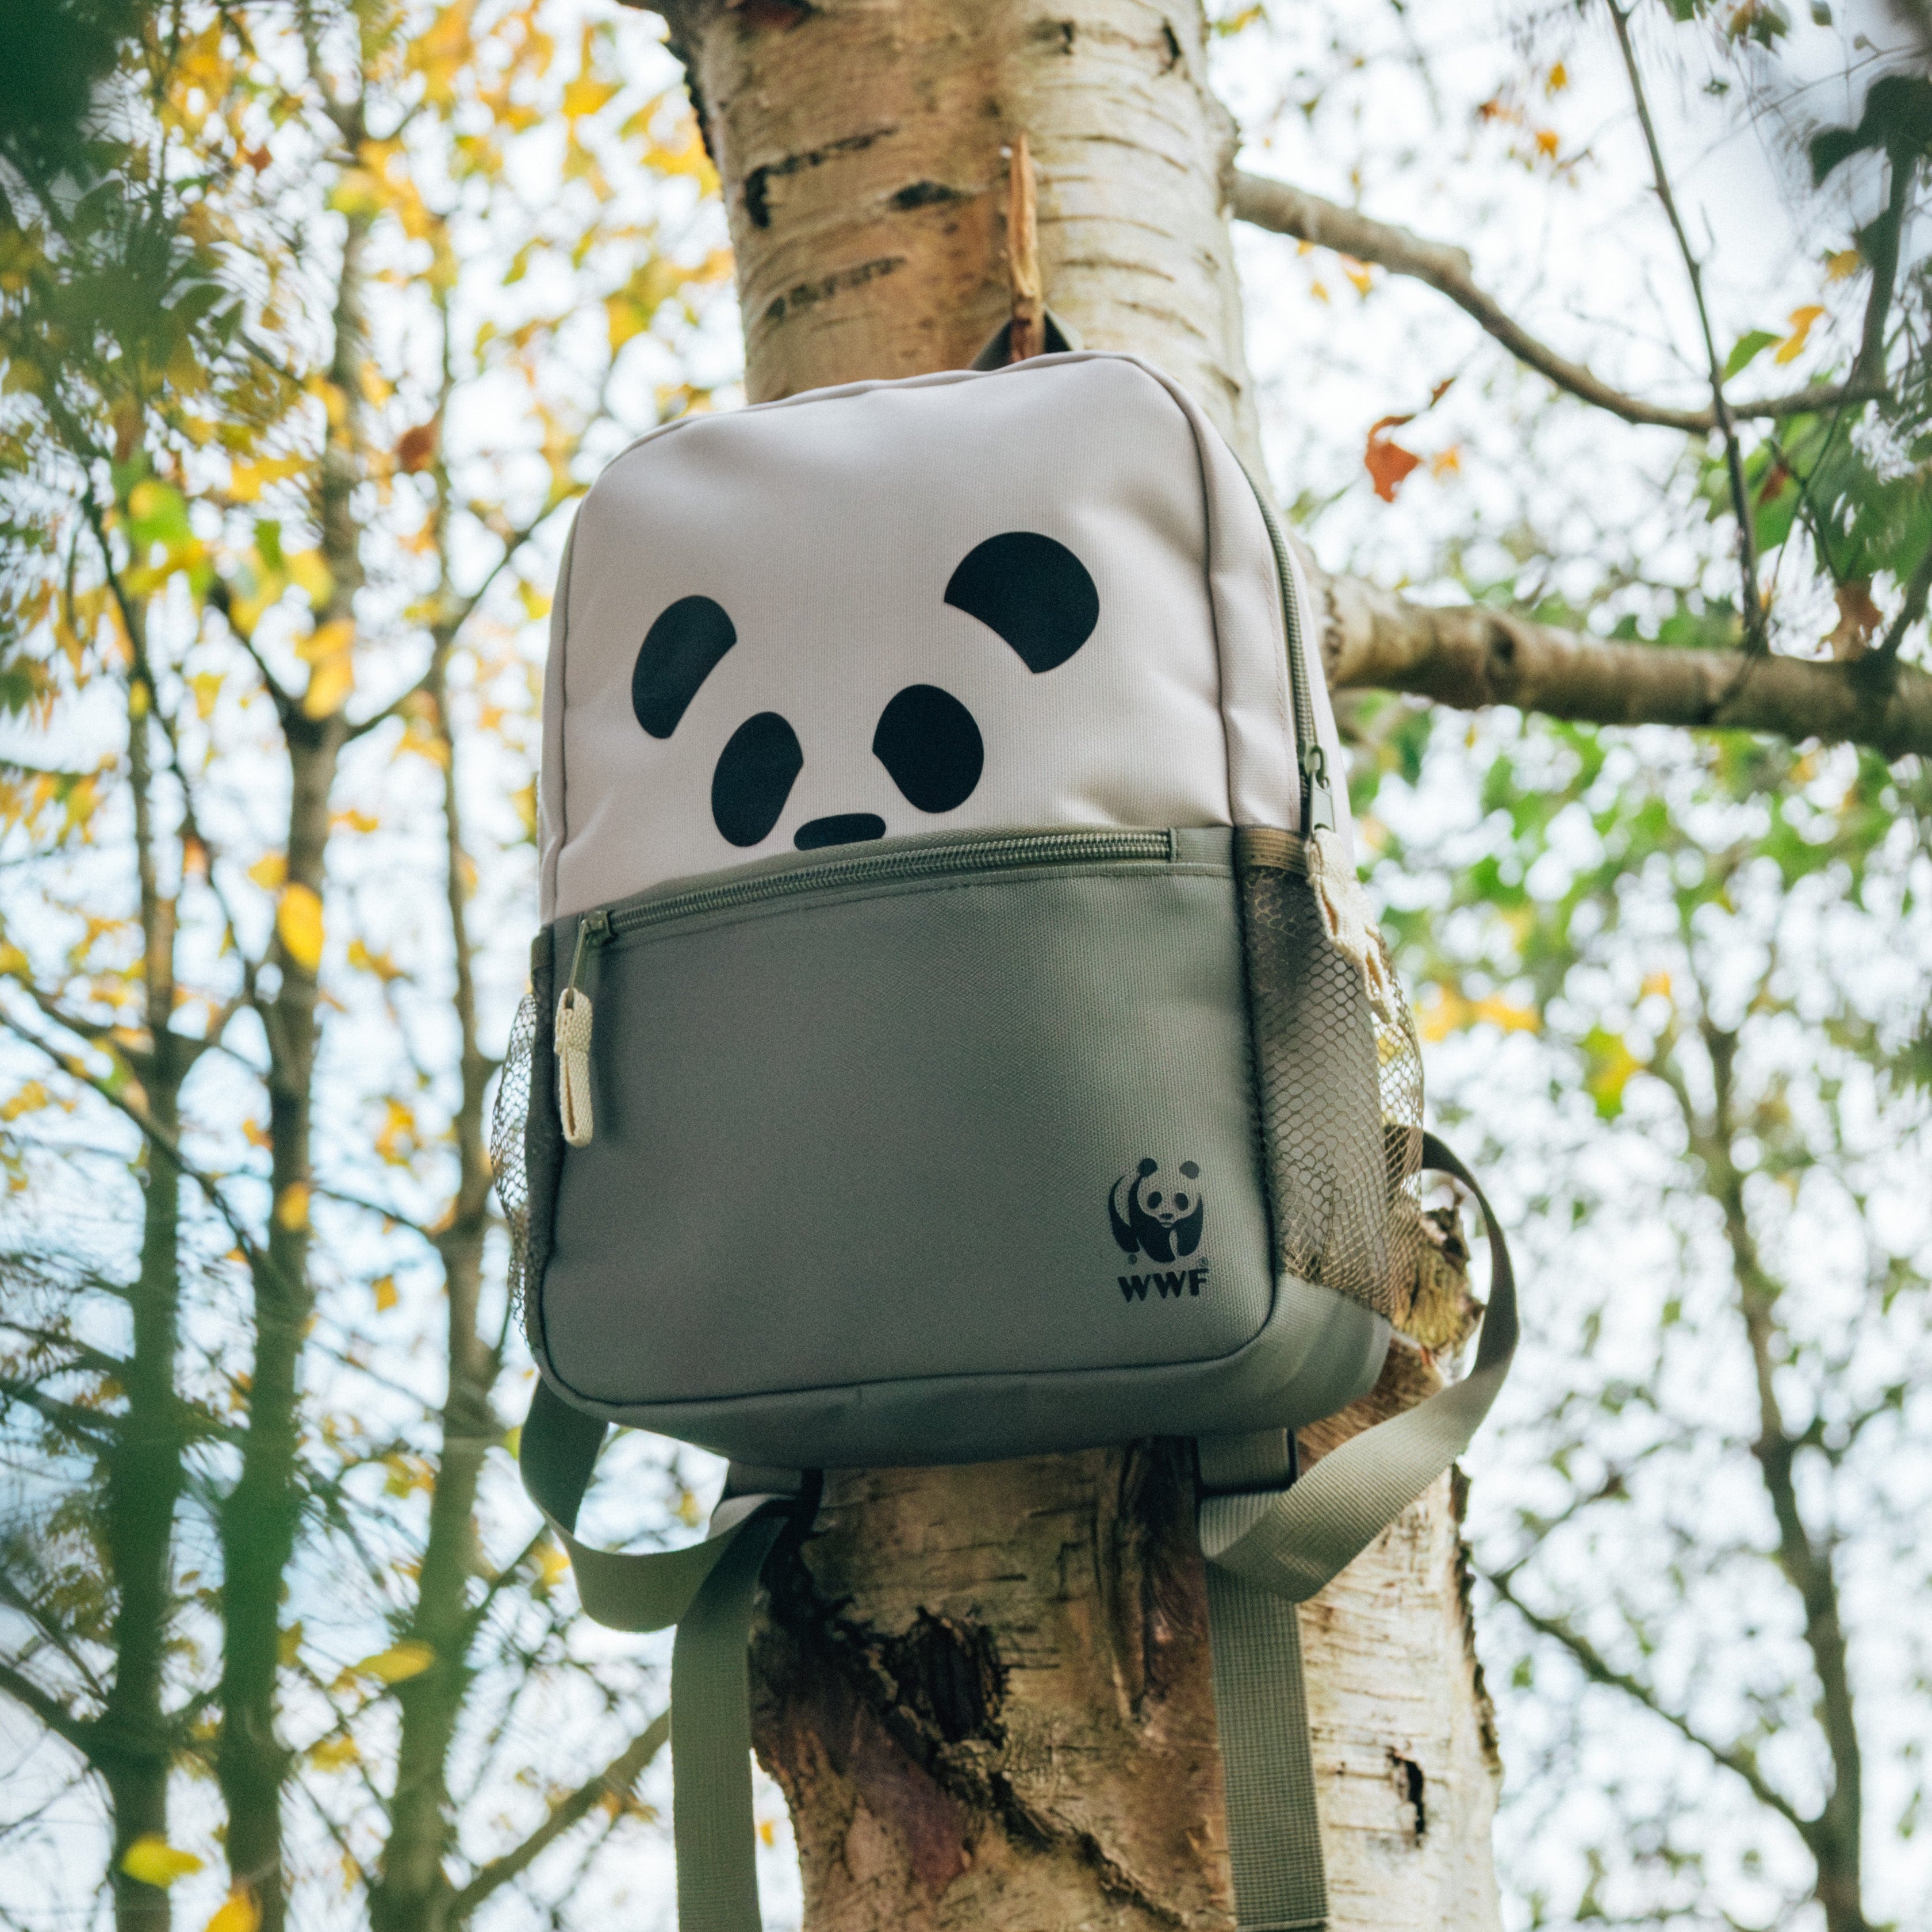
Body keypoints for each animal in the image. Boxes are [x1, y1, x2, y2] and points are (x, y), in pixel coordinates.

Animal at [1109, 1158, 1205, 1264]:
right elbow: (1153, 1236)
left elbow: (1189, 1228)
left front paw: (1184, 1251)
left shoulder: (1193, 1210)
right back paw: (1133, 1248)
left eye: (1181, 1199)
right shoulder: (1138, 1206)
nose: (1167, 1215)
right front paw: (1167, 1257)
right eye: (1155, 1198)